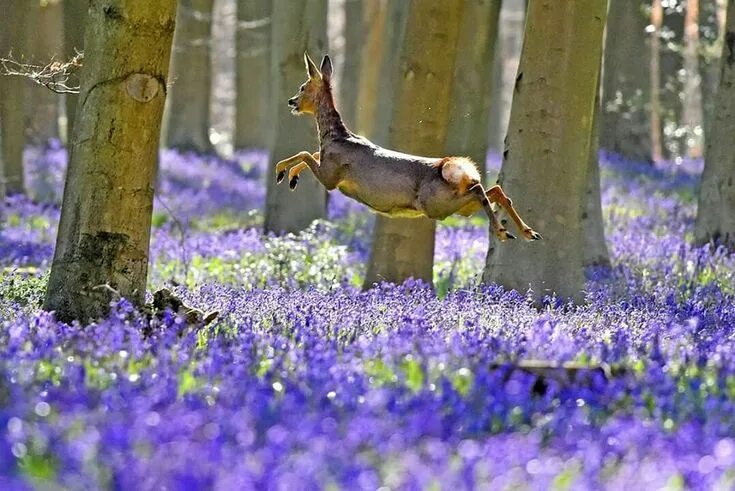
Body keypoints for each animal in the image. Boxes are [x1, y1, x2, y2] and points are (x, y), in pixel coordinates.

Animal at [274, 52, 544, 242]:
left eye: (302, 86)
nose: (291, 101)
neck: (335, 136)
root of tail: (455, 170)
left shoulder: (331, 176)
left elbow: (306, 153)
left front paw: (281, 172)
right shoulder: (328, 168)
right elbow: (309, 153)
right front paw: (290, 177)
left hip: (436, 204)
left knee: (480, 189)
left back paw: (503, 232)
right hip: (458, 206)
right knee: (494, 190)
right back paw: (528, 232)